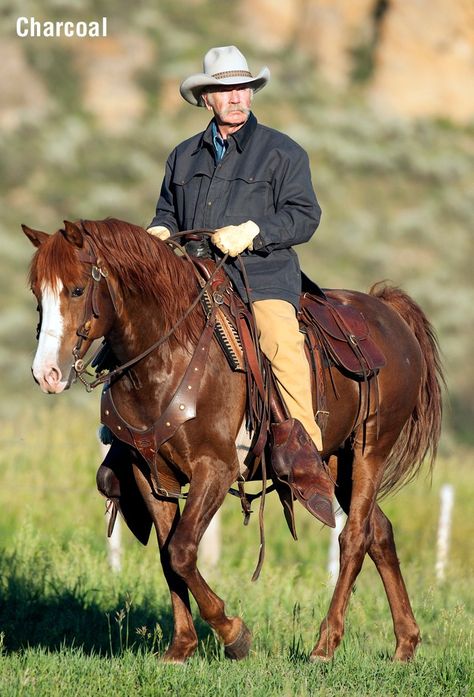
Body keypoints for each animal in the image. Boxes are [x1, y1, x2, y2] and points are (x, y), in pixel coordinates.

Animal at [24, 218, 442, 664]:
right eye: (37, 294)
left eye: (77, 289)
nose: (46, 374)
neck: (169, 353)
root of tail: (388, 314)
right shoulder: (150, 474)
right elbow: (168, 554)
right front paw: (181, 647)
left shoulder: (216, 468)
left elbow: (182, 550)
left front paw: (233, 634)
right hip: (335, 462)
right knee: (380, 532)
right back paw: (405, 643)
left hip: (369, 452)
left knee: (355, 537)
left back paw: (325, 644)